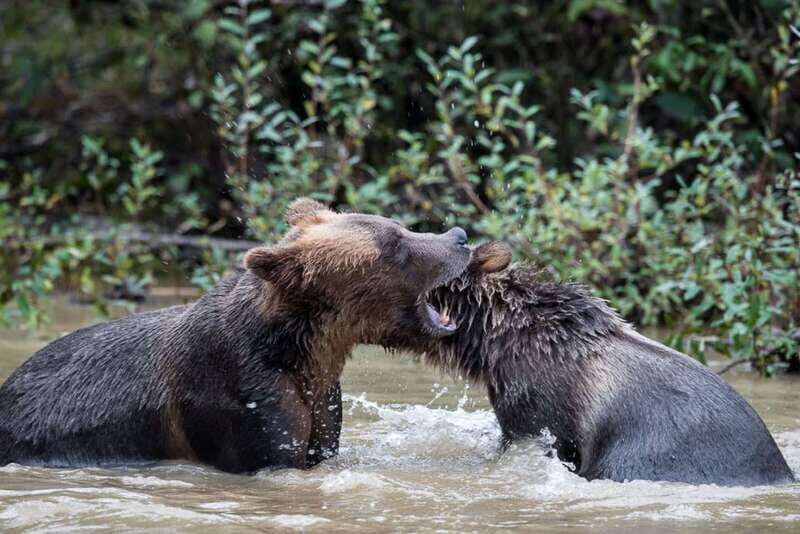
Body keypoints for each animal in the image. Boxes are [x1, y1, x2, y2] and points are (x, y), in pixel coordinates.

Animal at [0, 198, 471, 473]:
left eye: (399, 225)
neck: (301, 351)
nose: (459, 236)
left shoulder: (322, 397)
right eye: (393, 244)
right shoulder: (243, 396)